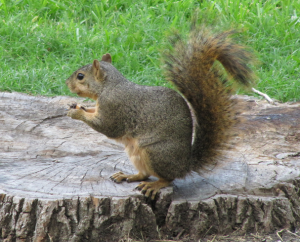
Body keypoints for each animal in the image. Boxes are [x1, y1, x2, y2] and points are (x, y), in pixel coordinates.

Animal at [65, 26, 255, 200]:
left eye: (80, 76)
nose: (67, 83)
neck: (109, 86)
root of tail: (185, 164)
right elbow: (92, 110)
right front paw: (77, 106)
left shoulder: (115, 108)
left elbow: (106, 127)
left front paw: (77, 114)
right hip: (135, 153)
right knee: (144, 174)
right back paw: (128, 175)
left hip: (155, 152)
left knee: (169, 178)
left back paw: (154, 185)